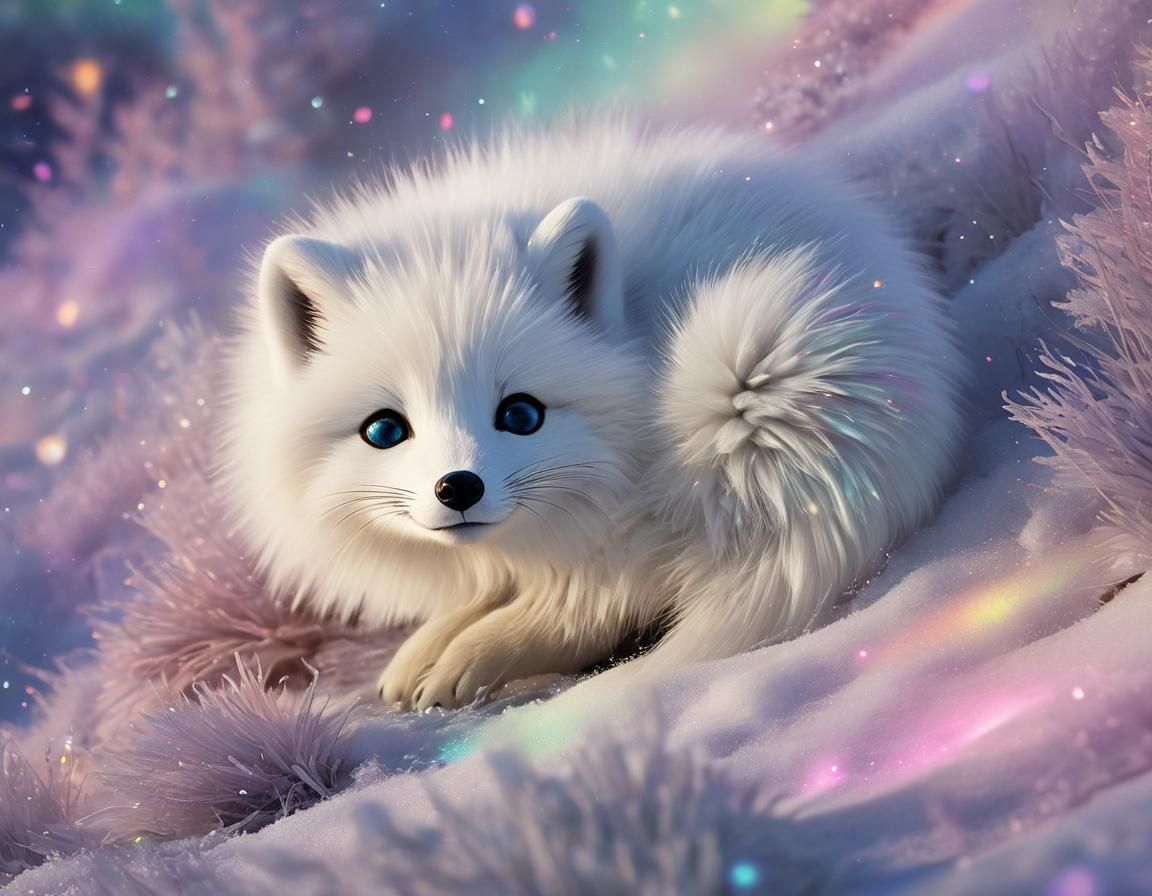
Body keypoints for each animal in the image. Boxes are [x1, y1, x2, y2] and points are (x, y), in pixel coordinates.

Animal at [221, 120, 965, 710]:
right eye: (384, 430)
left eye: (521, 414)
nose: (458, 487)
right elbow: (491, 586)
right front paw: (434, 638)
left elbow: (585, 604)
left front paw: (468, 649)